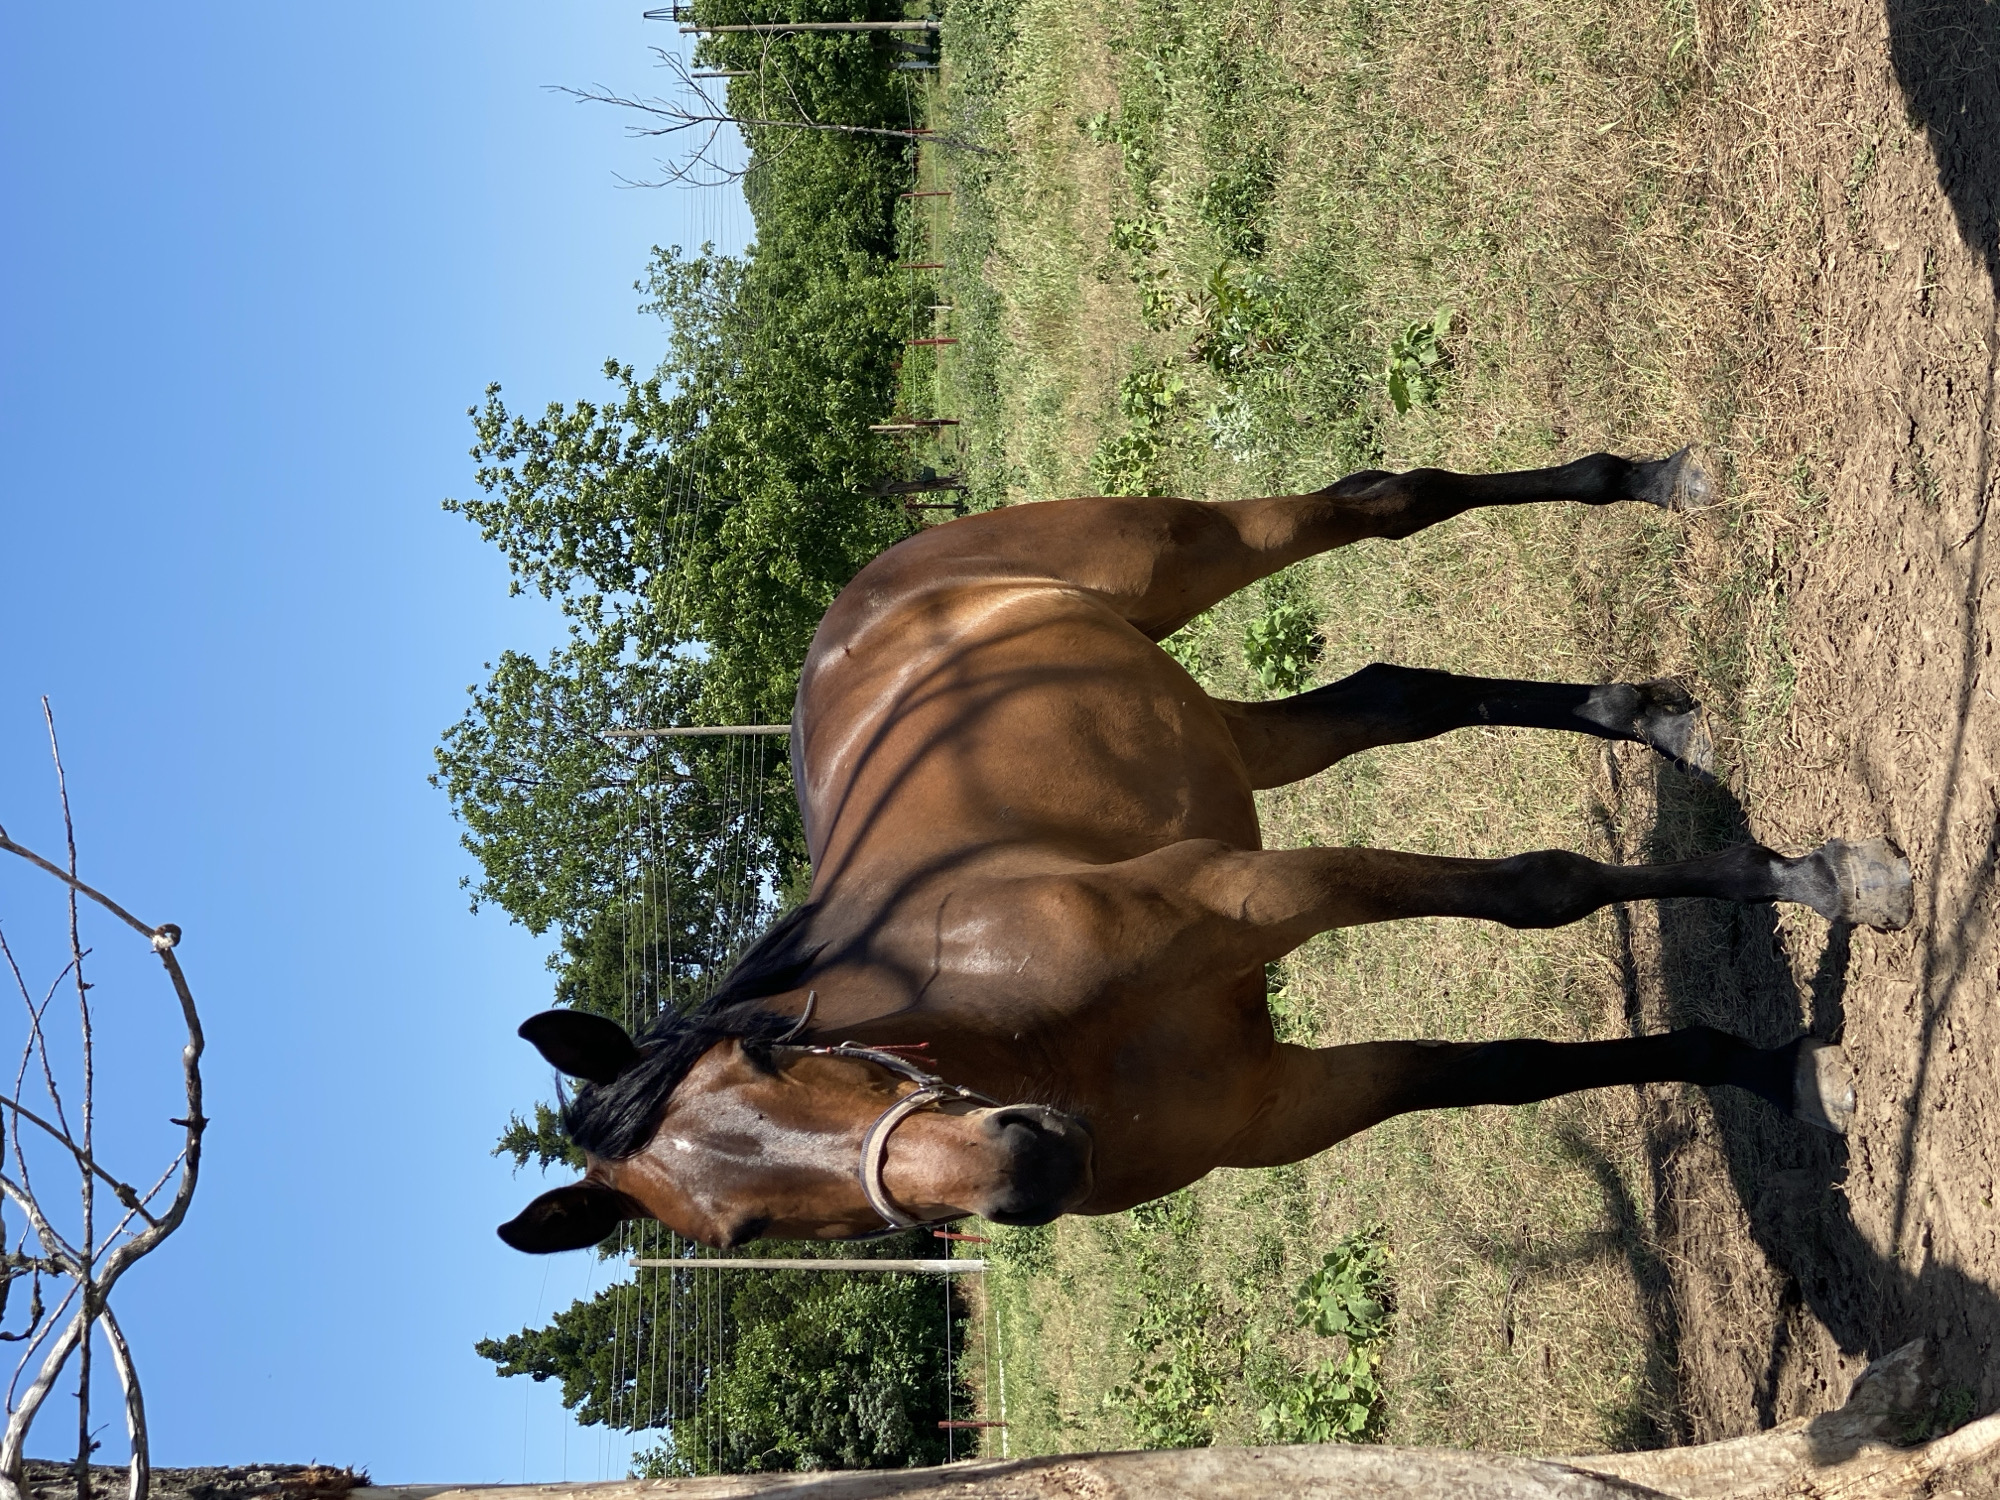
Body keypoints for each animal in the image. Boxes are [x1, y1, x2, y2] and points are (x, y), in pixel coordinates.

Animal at [499, 448, 1912, 1253]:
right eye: (739, 1229)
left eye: (774, 1052)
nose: (1024, 1164)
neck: (1025, 1026)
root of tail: (876, 581)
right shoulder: (1284, 1101)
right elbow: (1505, 1071)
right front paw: (1767, 1066)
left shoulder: (1261, 892)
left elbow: (1537, 891)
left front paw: (1817, 881)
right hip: (1230, 741)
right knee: (1394, 695)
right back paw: (1652, 714)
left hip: (1187, 551)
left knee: (1381, 503)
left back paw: (1647, 481)